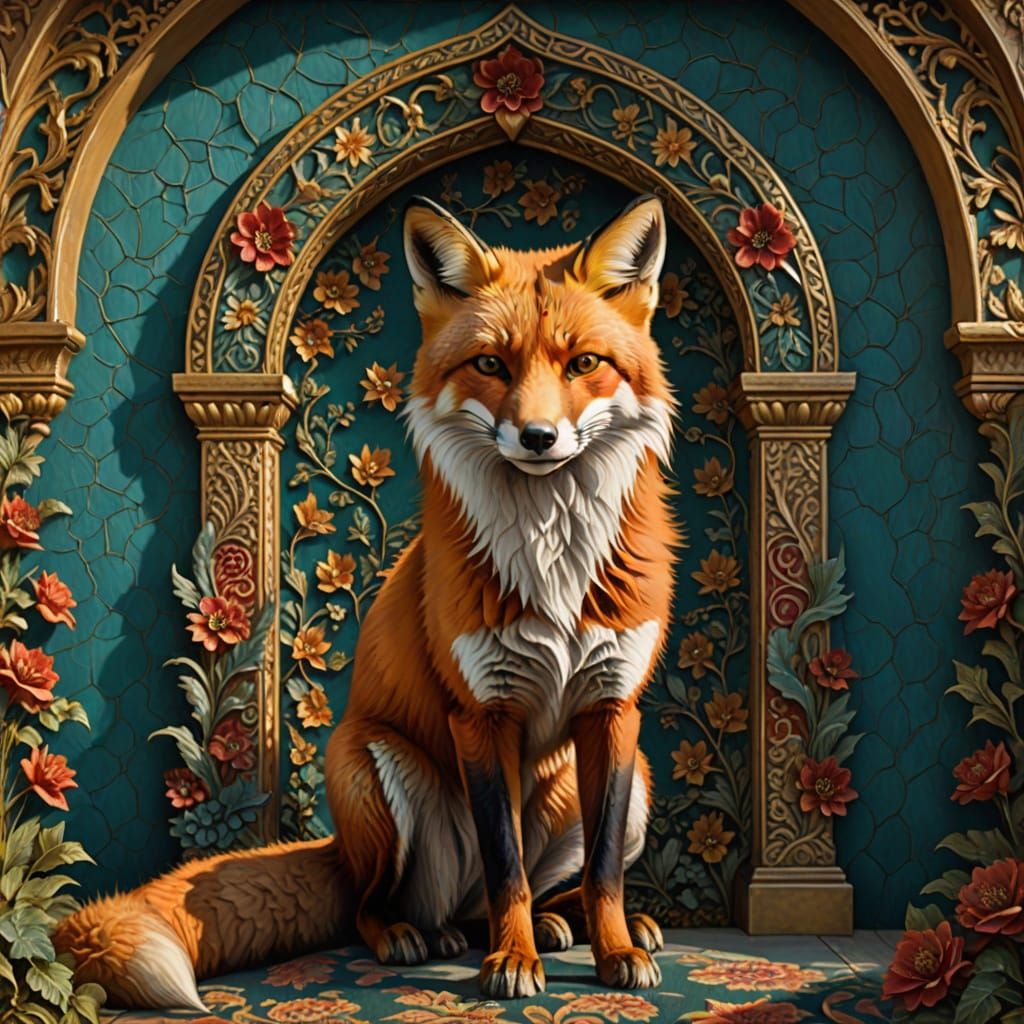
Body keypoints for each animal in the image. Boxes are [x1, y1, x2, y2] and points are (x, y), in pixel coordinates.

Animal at [54, 193, 678, 1009]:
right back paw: (420, 937)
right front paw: (510, 963)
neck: (553, 562)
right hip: (373, 767)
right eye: (490, 364)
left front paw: (613, 951)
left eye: (583, 364)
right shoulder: (480, 712)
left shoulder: (613, 707)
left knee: (520, 895)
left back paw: (567, 925)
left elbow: (602, 869)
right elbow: (505, 862)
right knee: (377, 904)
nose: (539, 437)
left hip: (637, 782)